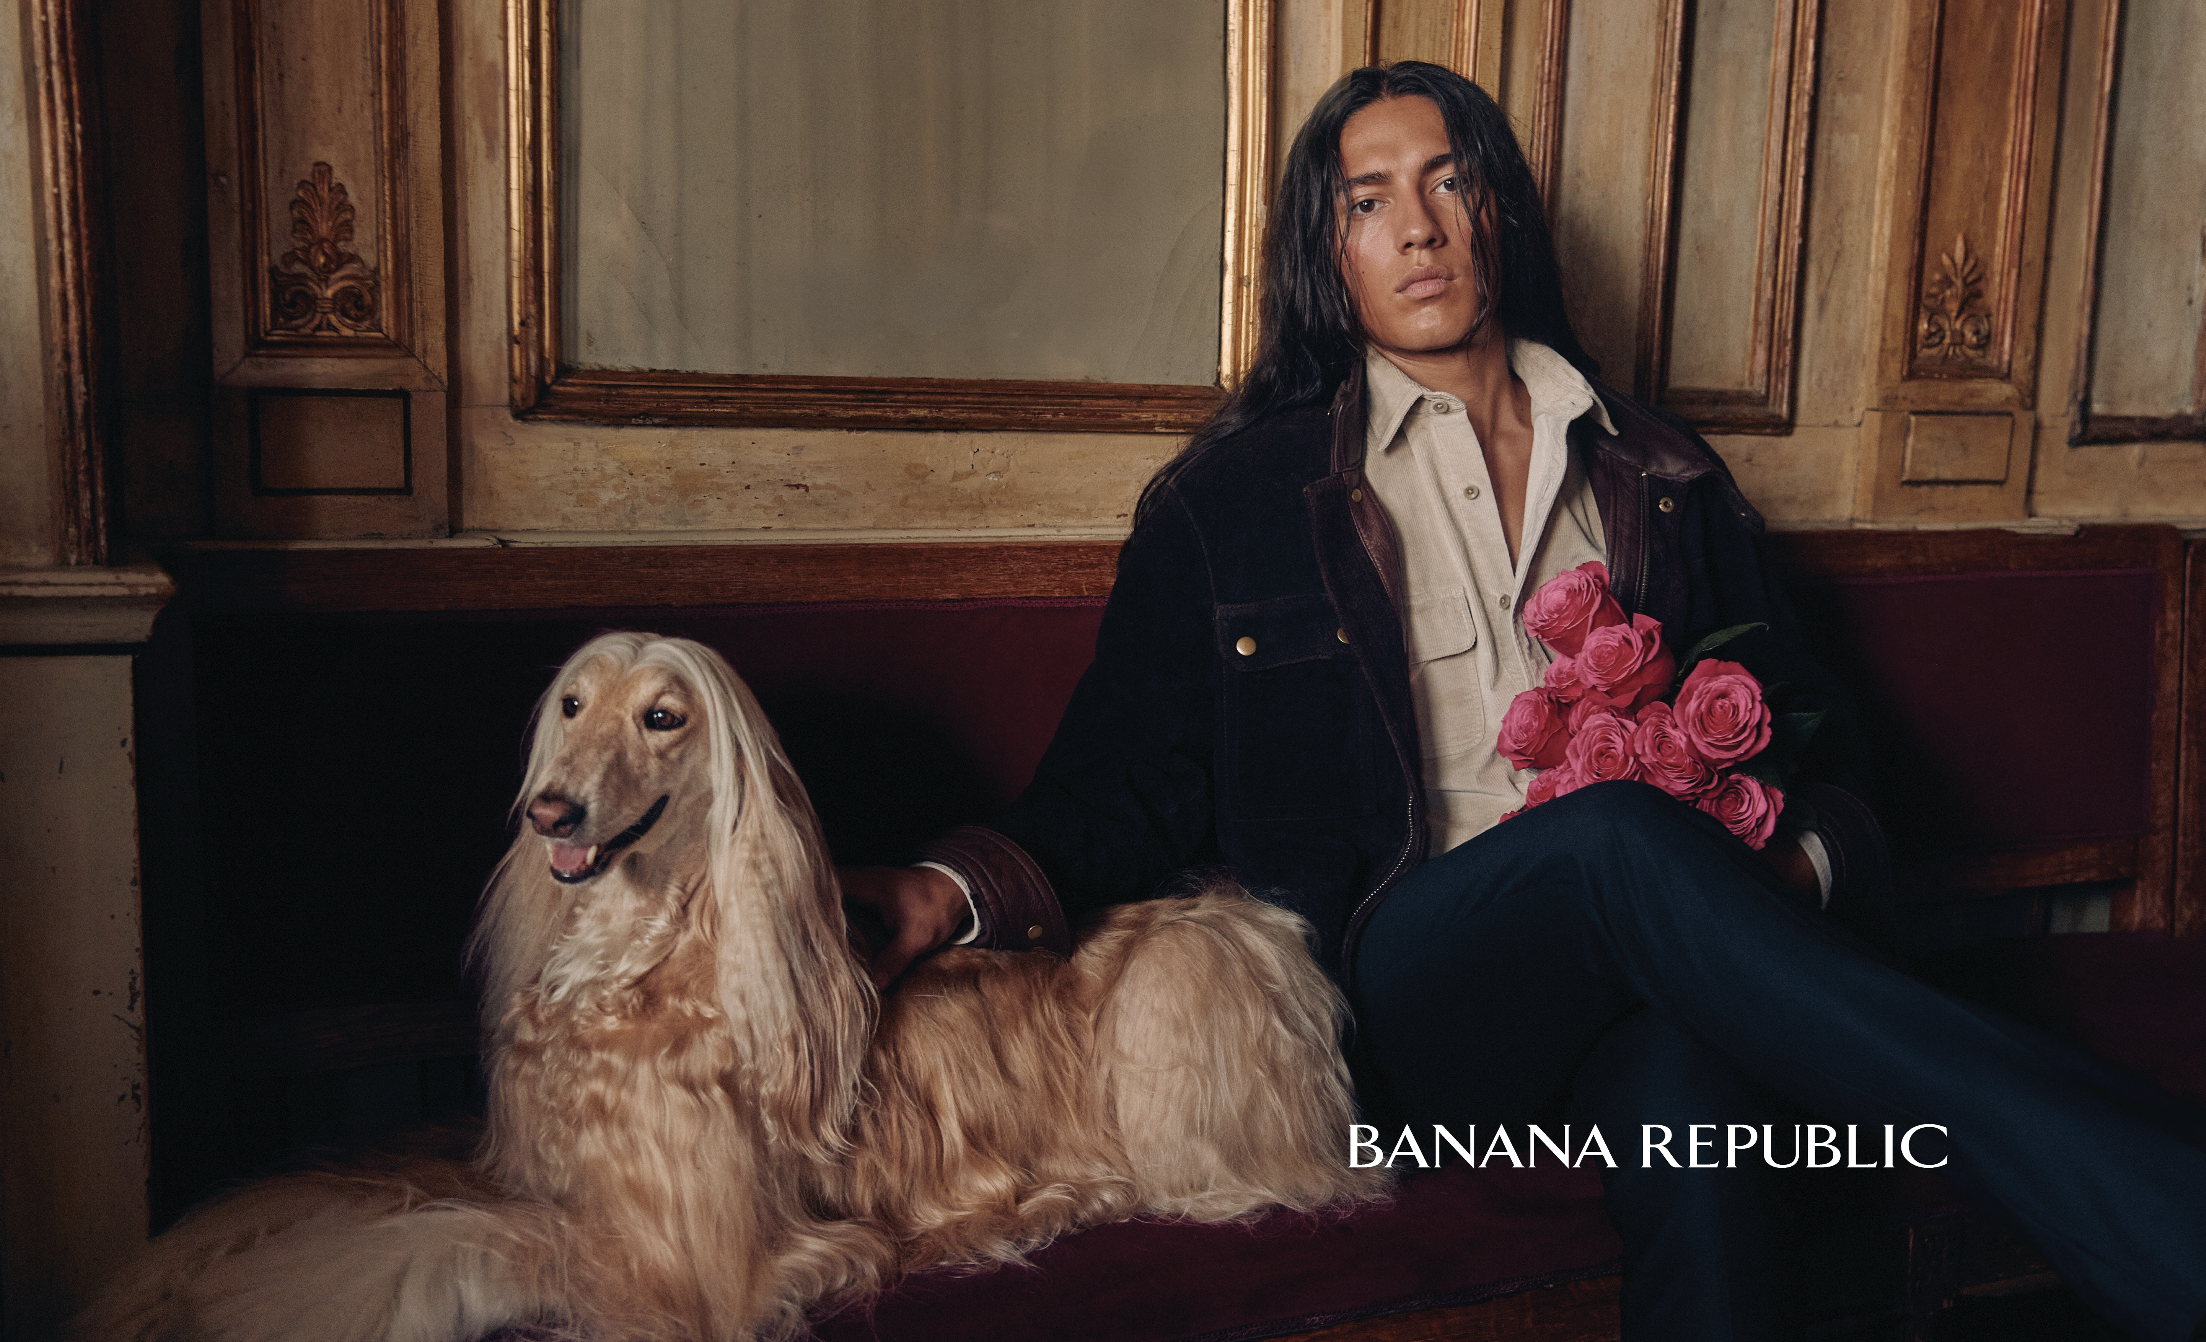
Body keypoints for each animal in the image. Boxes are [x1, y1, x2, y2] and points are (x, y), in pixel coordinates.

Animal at [77, 632, 1382, 1341]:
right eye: (571, 704)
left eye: (665, 716)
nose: (550, 811)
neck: (642, 965)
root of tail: (1235, 912)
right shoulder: (519, 1166)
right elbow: (332, 1191)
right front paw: (165, 1279)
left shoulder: (695, 1261)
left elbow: (440, 1248)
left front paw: (280, 1296)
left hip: (1184, 988)